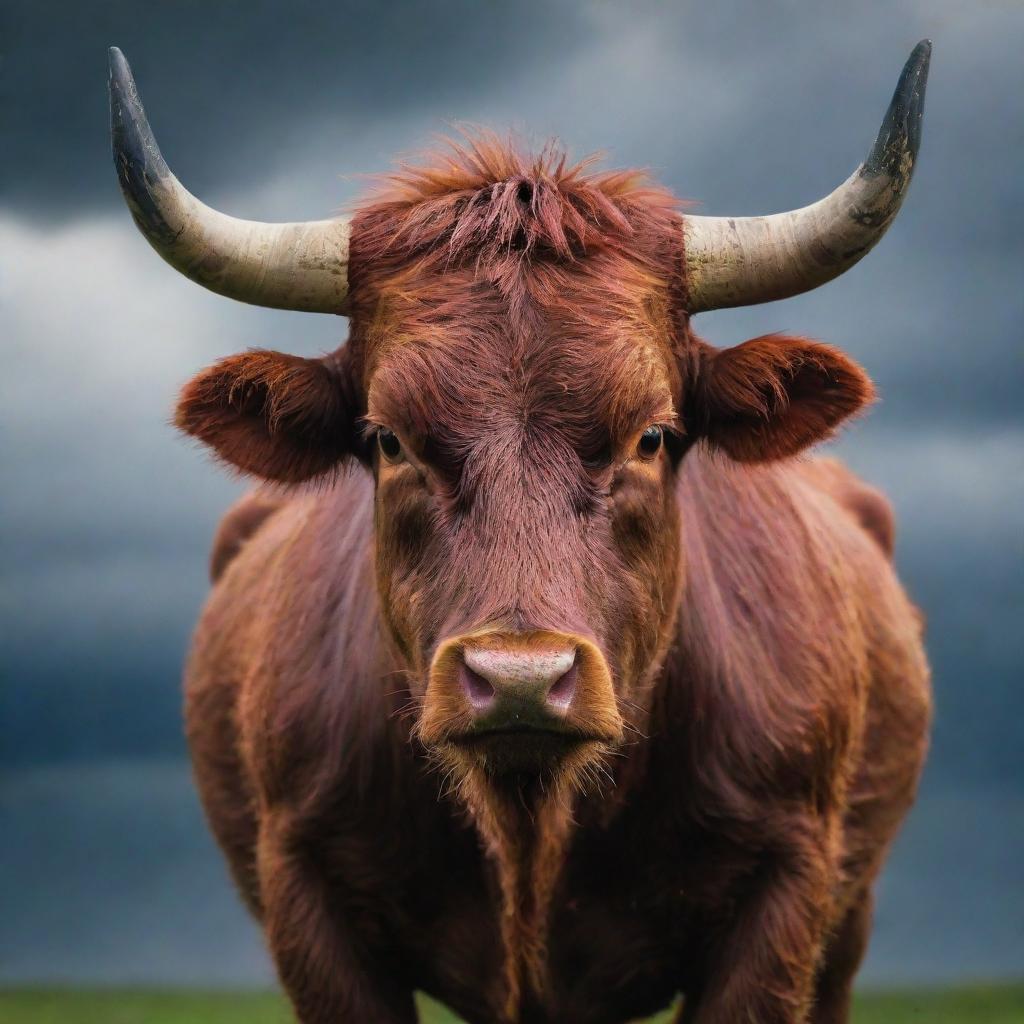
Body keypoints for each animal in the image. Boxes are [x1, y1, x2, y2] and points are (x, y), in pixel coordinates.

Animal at [112, 41, 937, 1024]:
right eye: (388, 438)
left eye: (652, 435)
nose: (518, 679)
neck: (530, 825)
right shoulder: (307, 897)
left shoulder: (788, 894)